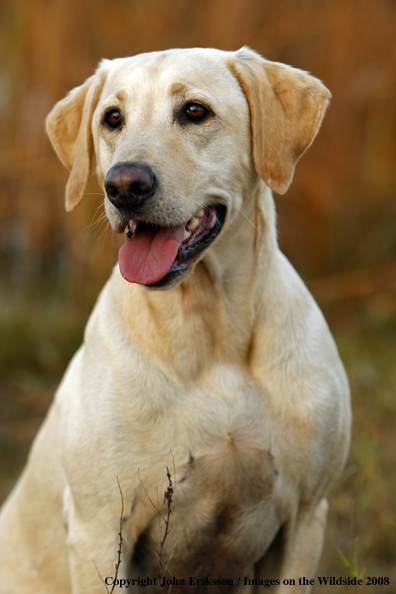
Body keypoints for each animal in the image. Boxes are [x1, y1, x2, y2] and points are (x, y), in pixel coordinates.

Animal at [1, 47, 352, 592]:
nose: (123, 184)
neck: (212, 332)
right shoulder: (100, 527)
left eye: (194, 111)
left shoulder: (306, 518)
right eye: (112, 118)